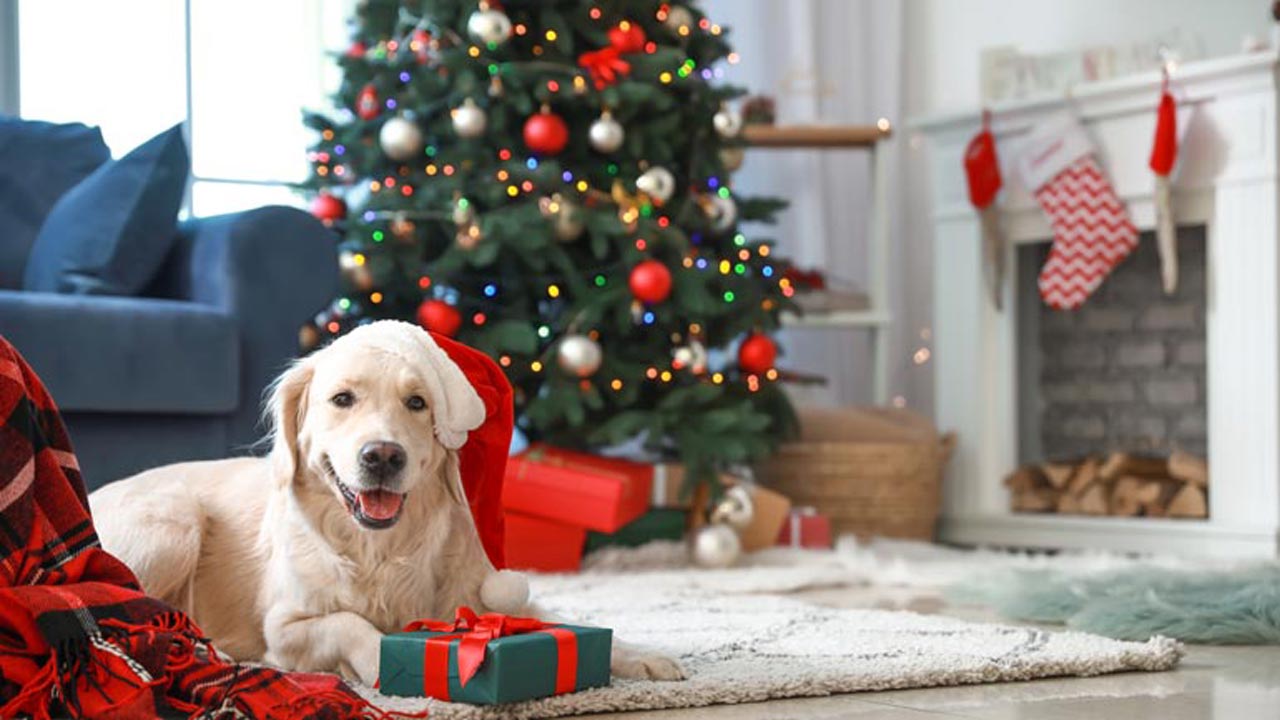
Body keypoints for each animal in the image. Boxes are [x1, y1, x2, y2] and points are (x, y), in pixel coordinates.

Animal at [90, 319, 686, 681]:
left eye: (418, 402)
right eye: (342, 399)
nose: (382, 456)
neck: (379, 551)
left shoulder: (484, 592)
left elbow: (558, 619)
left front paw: (643, 656)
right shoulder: (285, 629)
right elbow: (352, 625)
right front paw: (383, 663)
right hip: (174, 520)